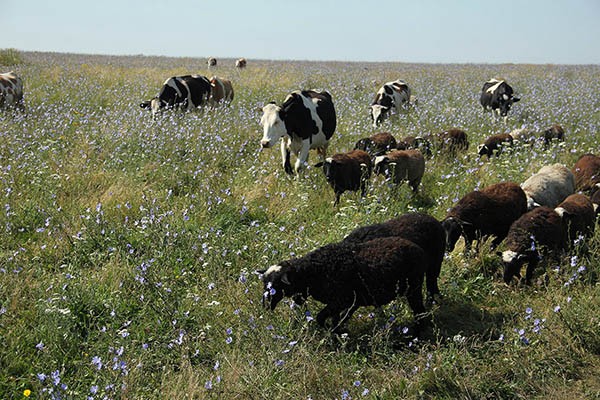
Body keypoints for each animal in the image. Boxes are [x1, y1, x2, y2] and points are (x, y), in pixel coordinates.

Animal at [258, 238, 426, 332]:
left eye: (276, 286)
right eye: (264, 283)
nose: (265, 305)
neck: (313, 271)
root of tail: (418, 249)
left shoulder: (340, 301)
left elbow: (320, 318)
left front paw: (332, 331)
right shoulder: (342, 304)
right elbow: (336, 319)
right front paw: (337, 332)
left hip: (414, 287)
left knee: (420, 311)